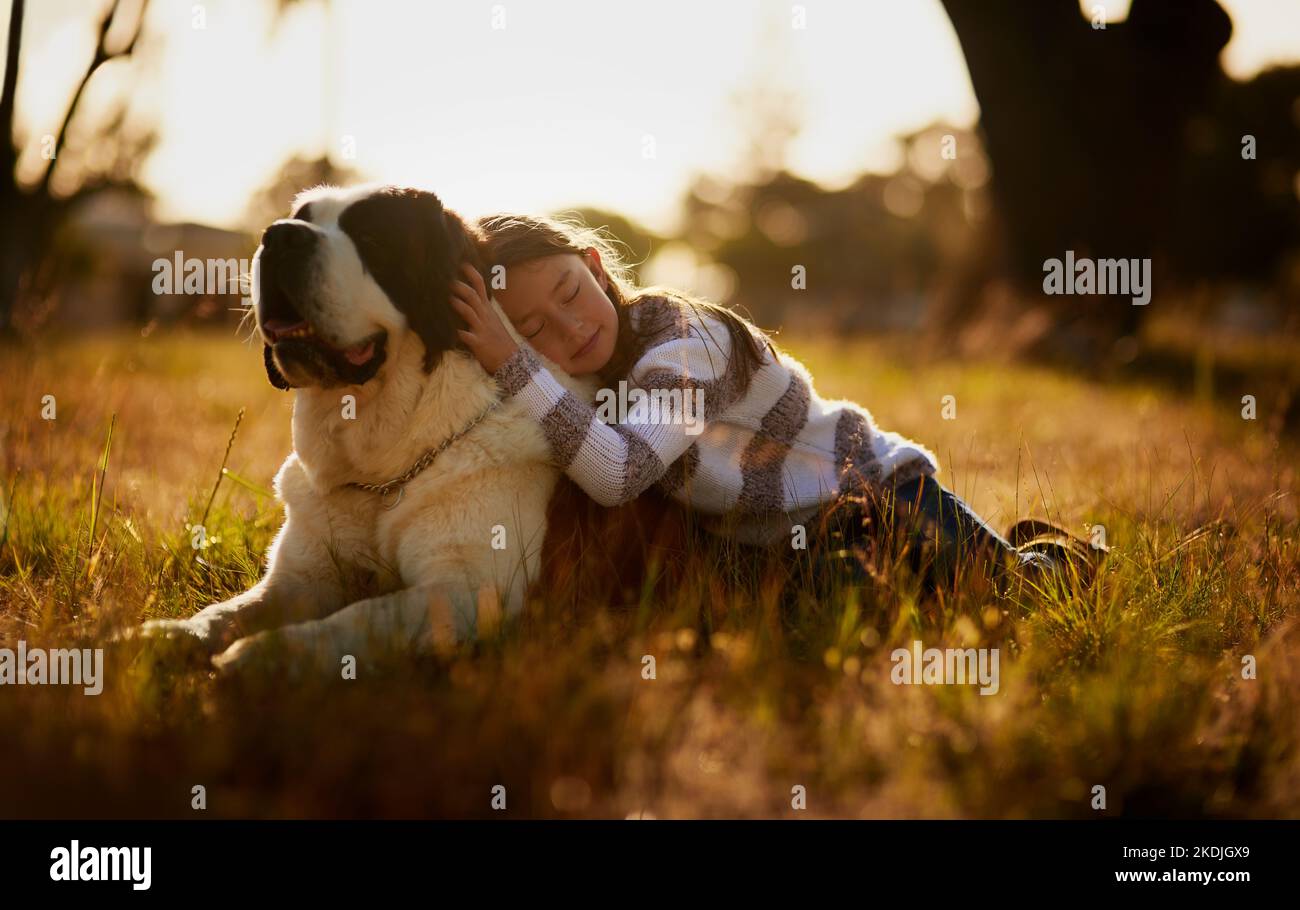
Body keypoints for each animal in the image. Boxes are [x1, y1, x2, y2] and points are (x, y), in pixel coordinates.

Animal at [131, 183, 598, 676]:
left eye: (372, 238)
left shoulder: (465, 590)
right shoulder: (300, 575)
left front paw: (259, 655)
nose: (281, 236)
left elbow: (361, 615)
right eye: (302, 218)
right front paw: (166, 635)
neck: (384, 468)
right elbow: (231, 610)